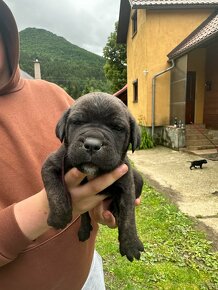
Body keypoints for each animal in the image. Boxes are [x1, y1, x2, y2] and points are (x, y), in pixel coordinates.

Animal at [42, 92, 145, 262]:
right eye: (77, 122)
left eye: (117, 128)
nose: (92, 144)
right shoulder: (50, 165)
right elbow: (55, 193)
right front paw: (59, 217)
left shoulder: (126, 184)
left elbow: (129, 216)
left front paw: (130, 243)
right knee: (83, 213)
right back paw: (84, 229)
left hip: (138, 178)